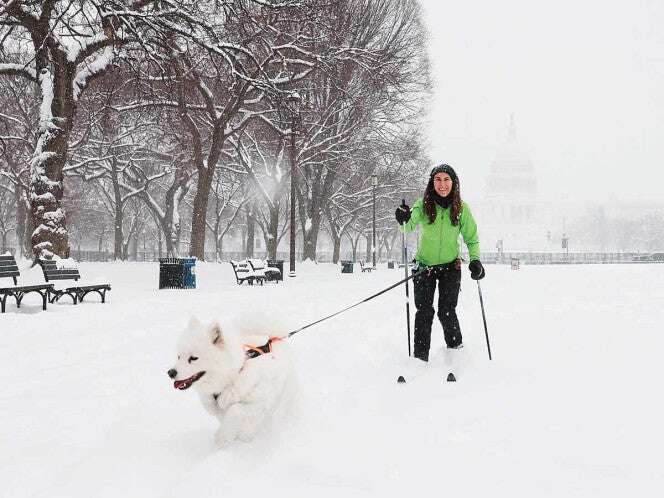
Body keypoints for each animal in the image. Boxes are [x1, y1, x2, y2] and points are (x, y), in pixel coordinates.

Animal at [169, 316, 296, 448]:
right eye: (179, 357)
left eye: (193, 358)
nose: (170, 372)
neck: (232, 377)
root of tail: (272, 337)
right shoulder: (219, 410)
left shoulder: (260, 402)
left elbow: (235, 410)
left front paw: (222, 438)